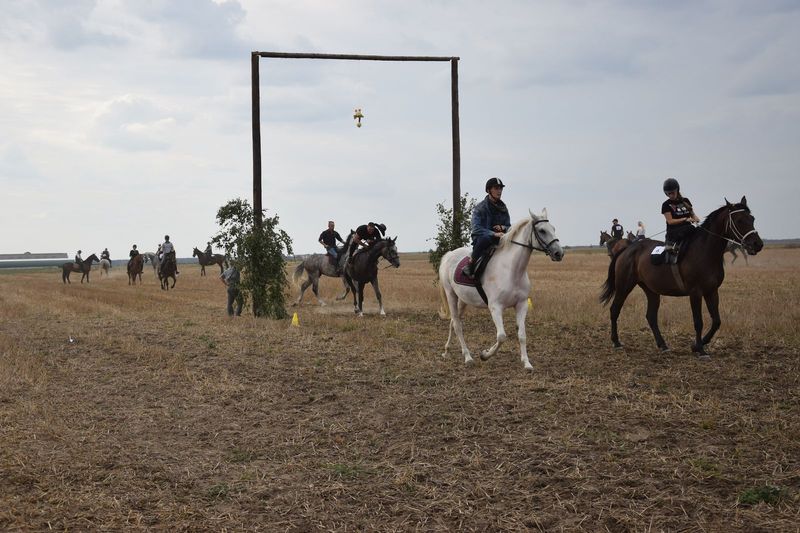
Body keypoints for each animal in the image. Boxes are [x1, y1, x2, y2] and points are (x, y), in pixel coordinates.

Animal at [438, 209, 564, 370]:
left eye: (553, 228)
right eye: (542, 230)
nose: (559, 253)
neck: (512, 270)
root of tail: (449, 255)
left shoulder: (522, 305)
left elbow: (522, 335)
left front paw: (527, 363)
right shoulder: (495, 307)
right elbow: (502, 336)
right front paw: (485, 355)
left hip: (463, 300)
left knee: (453, 322)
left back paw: (447, 351)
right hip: (451, 295)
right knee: (457, 325)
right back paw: (467, 357)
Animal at [600, 197, 764, 360]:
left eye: (752, 218)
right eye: (739, 220)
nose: (757, 244)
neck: (705, 251)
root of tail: (626, 249)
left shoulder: (711, 291)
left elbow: (716, 321)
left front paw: (697, 345)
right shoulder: (695, 292)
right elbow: (698, 322)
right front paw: (700, 350)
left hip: (651, 290)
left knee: (651, 316)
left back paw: (663, 345)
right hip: (624, 286)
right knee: (615, 309)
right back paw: (616, 342)